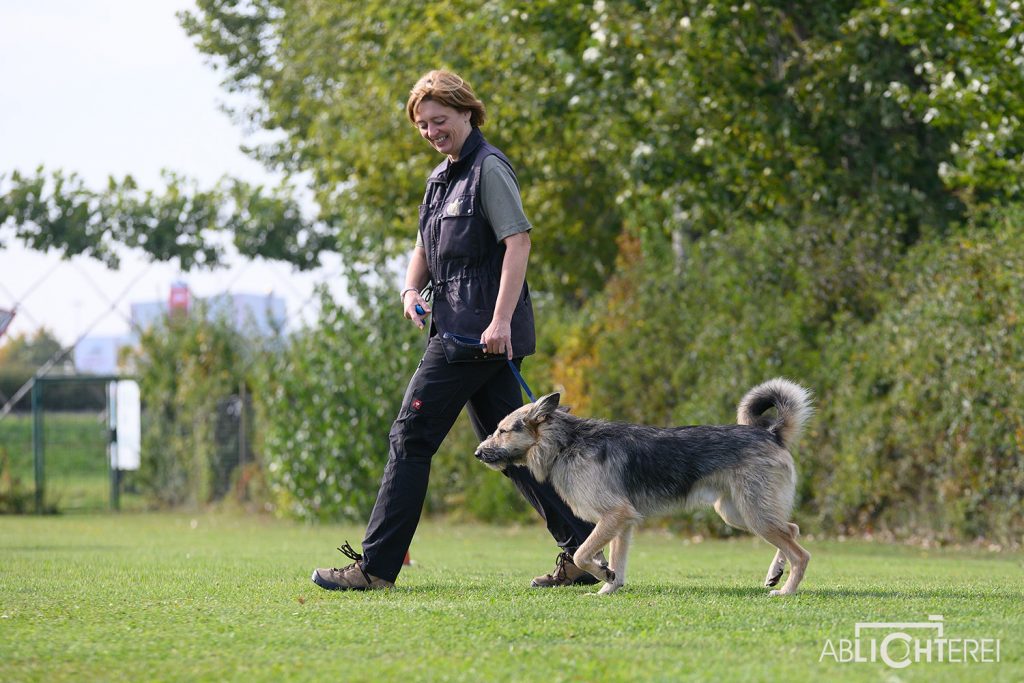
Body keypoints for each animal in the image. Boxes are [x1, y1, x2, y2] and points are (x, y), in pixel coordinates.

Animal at [473, 378, 815, 598]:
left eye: (502, 431)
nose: (477, 452)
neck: (565, 443)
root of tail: (771, 433)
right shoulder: (622, 523)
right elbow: (614, 560)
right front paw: (608, 587)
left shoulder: (615, 515)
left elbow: (582, 554)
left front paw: (603, 575)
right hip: (739, 513)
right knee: (793, 529)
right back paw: (775, 574)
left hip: (754, 515)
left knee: (801, 553)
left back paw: (787, 591)